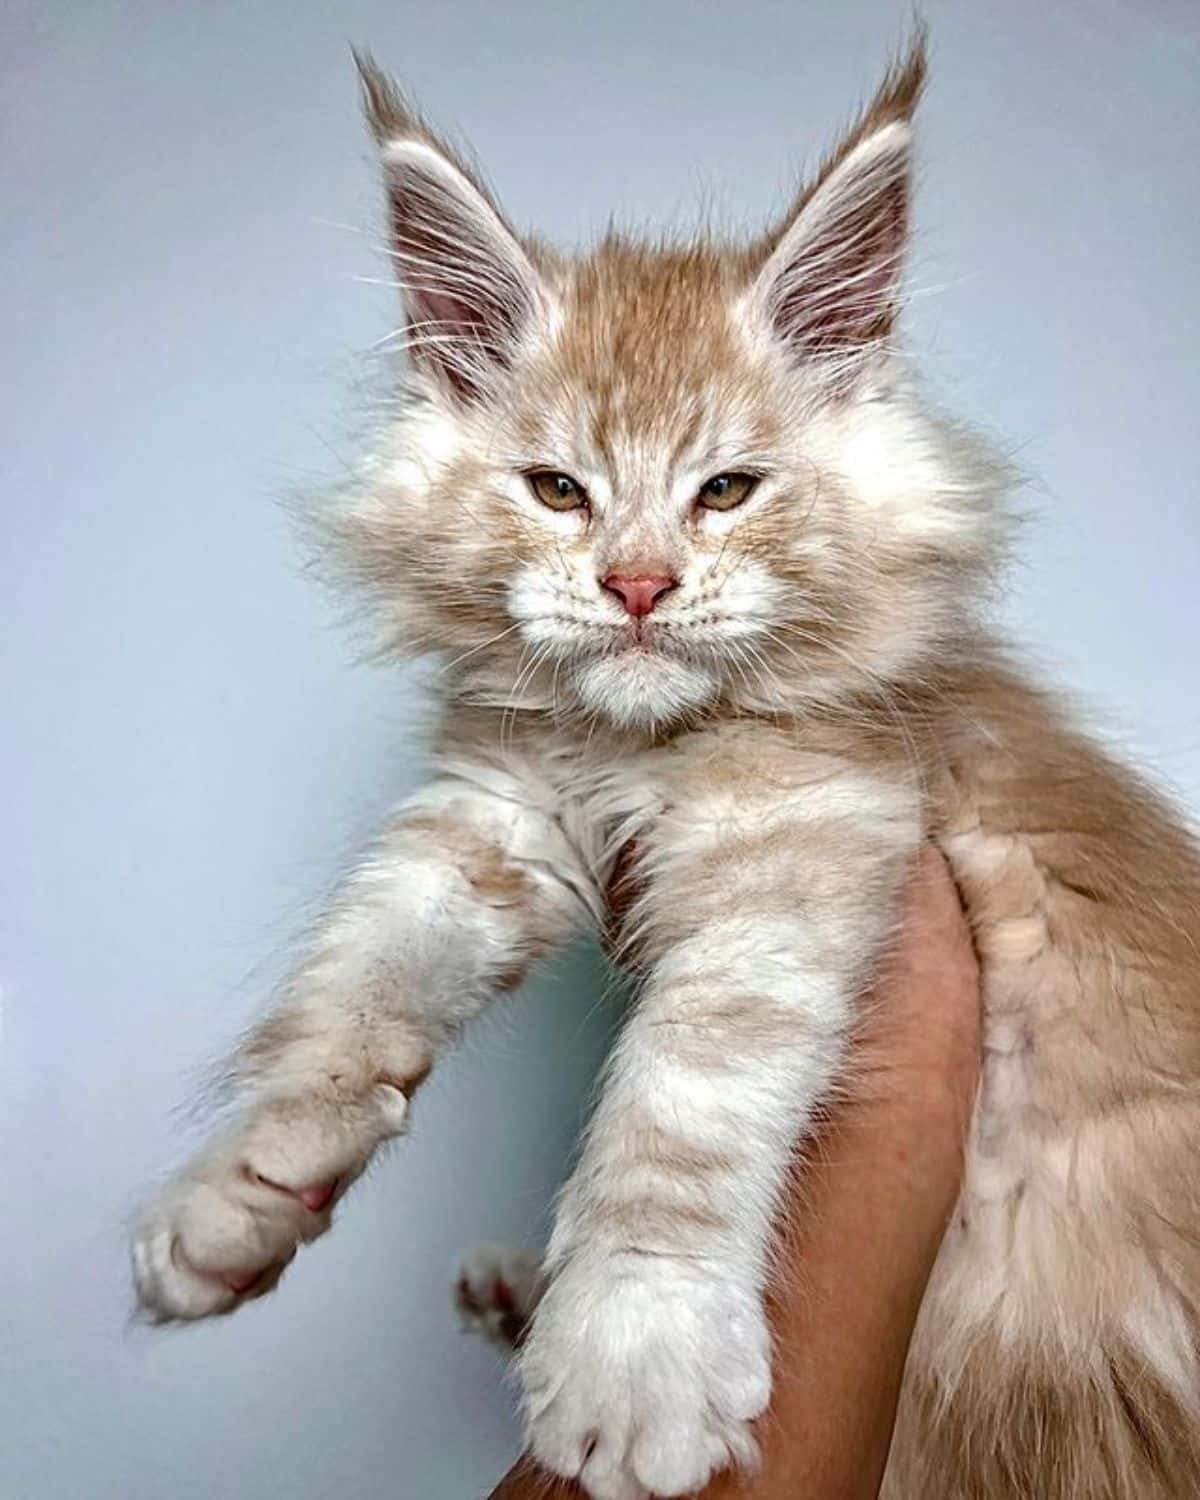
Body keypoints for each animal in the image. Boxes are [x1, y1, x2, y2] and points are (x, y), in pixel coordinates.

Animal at [131, 35, 1200, 1500]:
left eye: (727, 492)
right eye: (558, 491)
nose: (637, 585)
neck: (631, 749)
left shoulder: (807, 836)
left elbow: (681, 1101)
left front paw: (636, 1349)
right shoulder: (498, 816)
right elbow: (356, 972)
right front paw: (244, 1181)